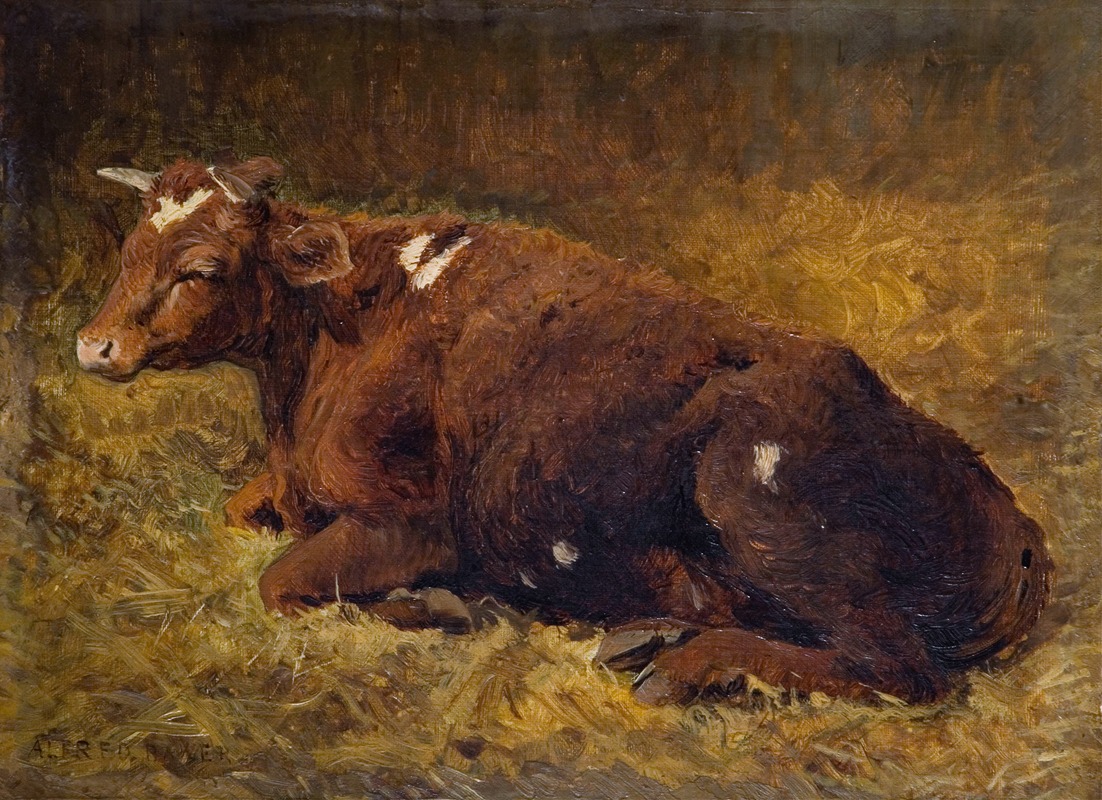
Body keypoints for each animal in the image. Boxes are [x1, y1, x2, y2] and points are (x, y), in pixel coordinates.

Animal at [78, 157, 1051, 705]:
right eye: (128, 253)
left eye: (202, 267)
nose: (94, 344)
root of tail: (1014, 520)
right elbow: (240, 517)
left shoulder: (410, 521)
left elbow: (281, 583)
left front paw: (446, 605)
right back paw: (648, 638)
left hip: (757, 497)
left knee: (900, 670)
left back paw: (688, 668)